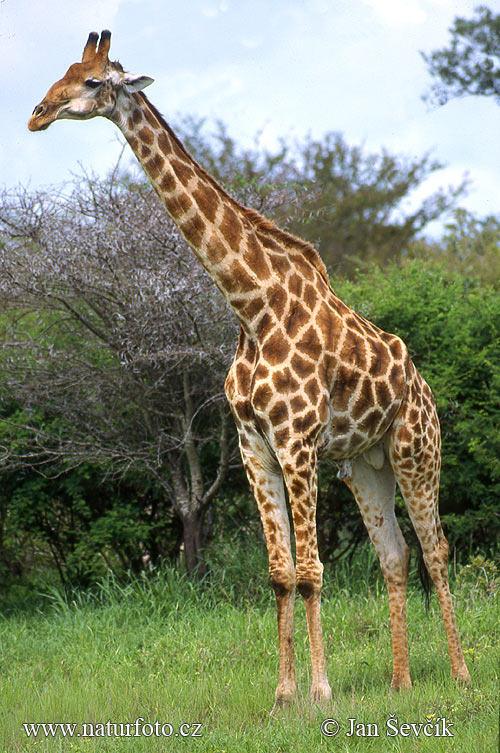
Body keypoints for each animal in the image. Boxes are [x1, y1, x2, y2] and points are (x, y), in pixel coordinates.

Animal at [29, 30, 470, 712]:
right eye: (65, 71)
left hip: (415, 451)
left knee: (437, 549)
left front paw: (321, 693)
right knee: (395, 556)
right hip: (364, 465)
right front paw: (283, 696)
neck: (252, 306)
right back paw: (398, 684)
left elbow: (312, 572)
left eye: (95, 81)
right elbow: (280, 573)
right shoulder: (252, 443)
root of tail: (423, 387)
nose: (37, 114)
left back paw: (461, 677)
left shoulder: (295, 441)